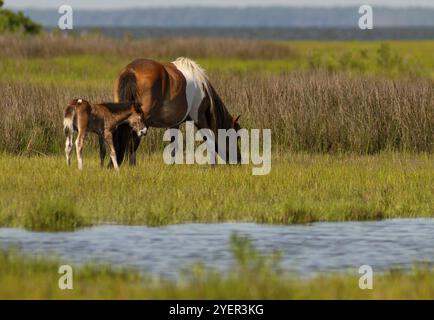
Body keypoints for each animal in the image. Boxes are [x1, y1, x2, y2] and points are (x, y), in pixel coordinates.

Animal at [112, 56, 241, 166]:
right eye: (236, 137)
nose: (239, 160)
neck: (203, 89)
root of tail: (131, 71)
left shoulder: (174, 123)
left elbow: (173, 145)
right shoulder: (200, 118)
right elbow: (209, 139)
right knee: (133, 141)